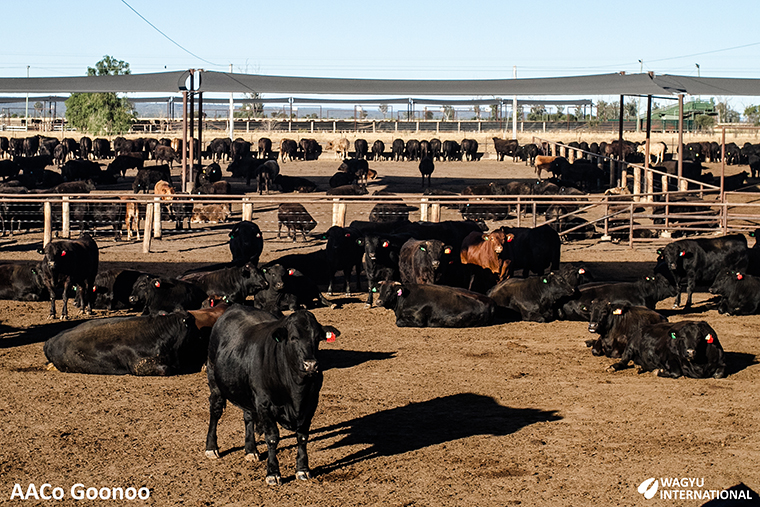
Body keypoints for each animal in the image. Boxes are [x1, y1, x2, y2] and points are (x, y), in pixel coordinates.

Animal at [203, 308, 336, 486]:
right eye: (293, 338)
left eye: (317, 338)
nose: (311, 365)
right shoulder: (265, 405)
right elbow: (272, 438)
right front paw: (273, 473)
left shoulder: (310, 404)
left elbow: (302, 436)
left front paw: (302, 469)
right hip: (214, 382)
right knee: (215, 411)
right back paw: (211, 447)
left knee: (248, 417)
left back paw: (250, 450)